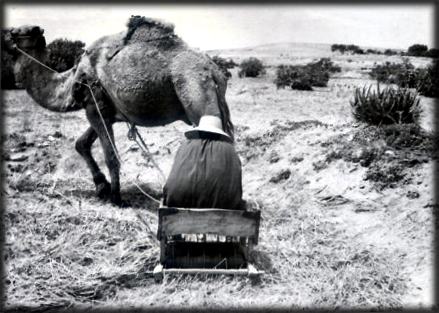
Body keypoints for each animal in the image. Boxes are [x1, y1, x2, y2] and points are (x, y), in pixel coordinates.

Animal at [5, 15, 235, 205]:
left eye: (16, 32)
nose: (6, 36)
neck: (73, 80)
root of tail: (214, 72)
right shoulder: (104, 110)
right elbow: (82, 143)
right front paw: (101, 186)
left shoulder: (94, 106)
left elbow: (110, 156)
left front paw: (115, 197)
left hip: (196, 94)